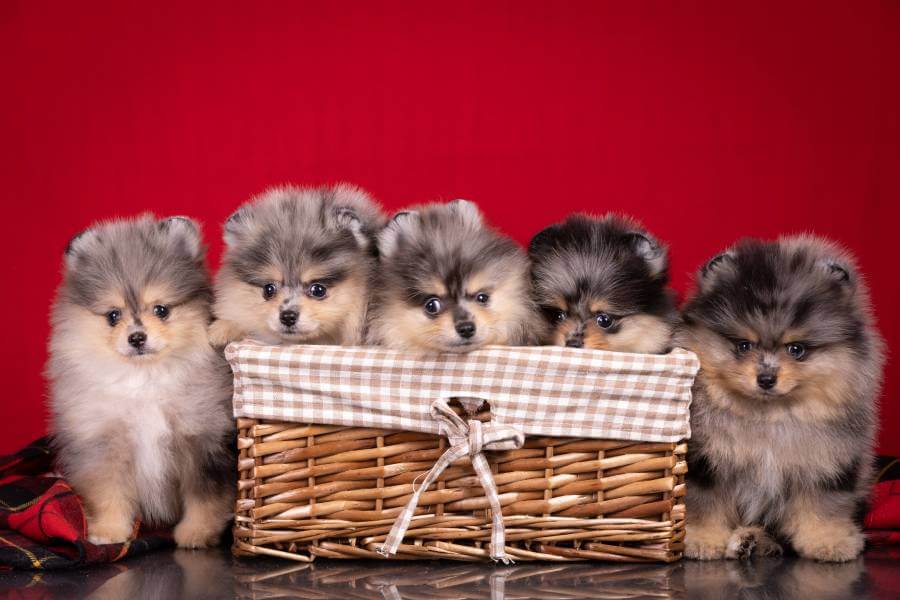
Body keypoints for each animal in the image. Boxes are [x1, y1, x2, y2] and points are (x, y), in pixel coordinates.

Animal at [47, 216, 234, 548]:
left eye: (161, 310)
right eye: (113, 315)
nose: (136, 337)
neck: (145, 379)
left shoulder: (202, 439)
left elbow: (205, 497)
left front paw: (197, 533)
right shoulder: (104, 443)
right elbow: (108, 493)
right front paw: (108, 532)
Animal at [680, 234, 884, 564]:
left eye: (796, 349)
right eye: (743, 345)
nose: (766, 378)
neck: (770, 416)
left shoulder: (828, 461)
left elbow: (825, 506)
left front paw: (829, 541)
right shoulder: (705, 460)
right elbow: (703, 502)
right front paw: (700, 539)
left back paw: (752, 540)